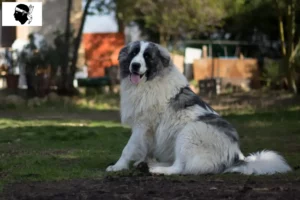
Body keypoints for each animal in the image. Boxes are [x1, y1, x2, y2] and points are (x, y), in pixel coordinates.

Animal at [105, 41, 290, 175]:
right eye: (133, 54)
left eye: (147, 56)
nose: (135, 65)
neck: (150, 81)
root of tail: (237, 156)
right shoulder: (148, 130)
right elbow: (145, 148)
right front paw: (141, 160)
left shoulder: (142, 125)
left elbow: (128, 148)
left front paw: (118, 166)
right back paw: (149, 164)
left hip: (189, 132)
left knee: (180, 168)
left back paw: (156, 169)